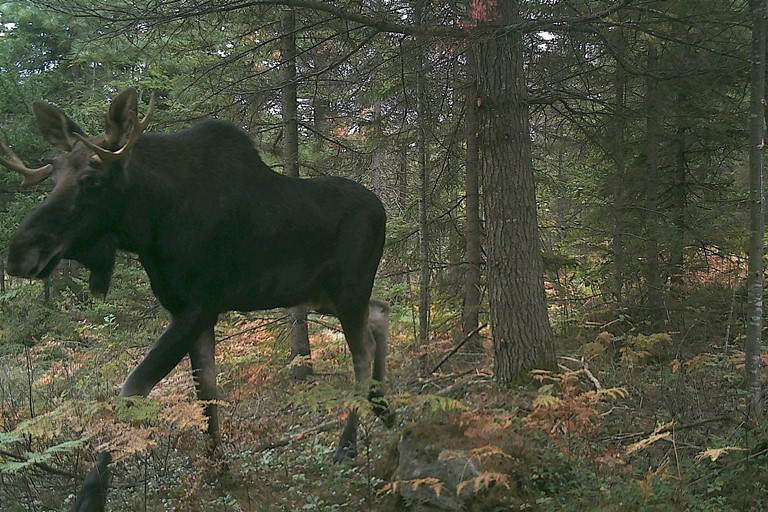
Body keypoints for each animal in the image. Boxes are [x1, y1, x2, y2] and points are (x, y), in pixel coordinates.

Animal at [1, 89, 396, 512]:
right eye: (53, 177)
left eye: (92, 179)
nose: (19, 253)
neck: (152, 225)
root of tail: (384, 211)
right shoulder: (191, 311)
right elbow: (206, 395)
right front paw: (217, 470)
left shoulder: (199, 305)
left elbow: (133, 388)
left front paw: (91, 495)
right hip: (324, 295)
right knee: (381, 312)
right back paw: (384, 409)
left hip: (348, 289)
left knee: (362, 350)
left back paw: (348, 443)